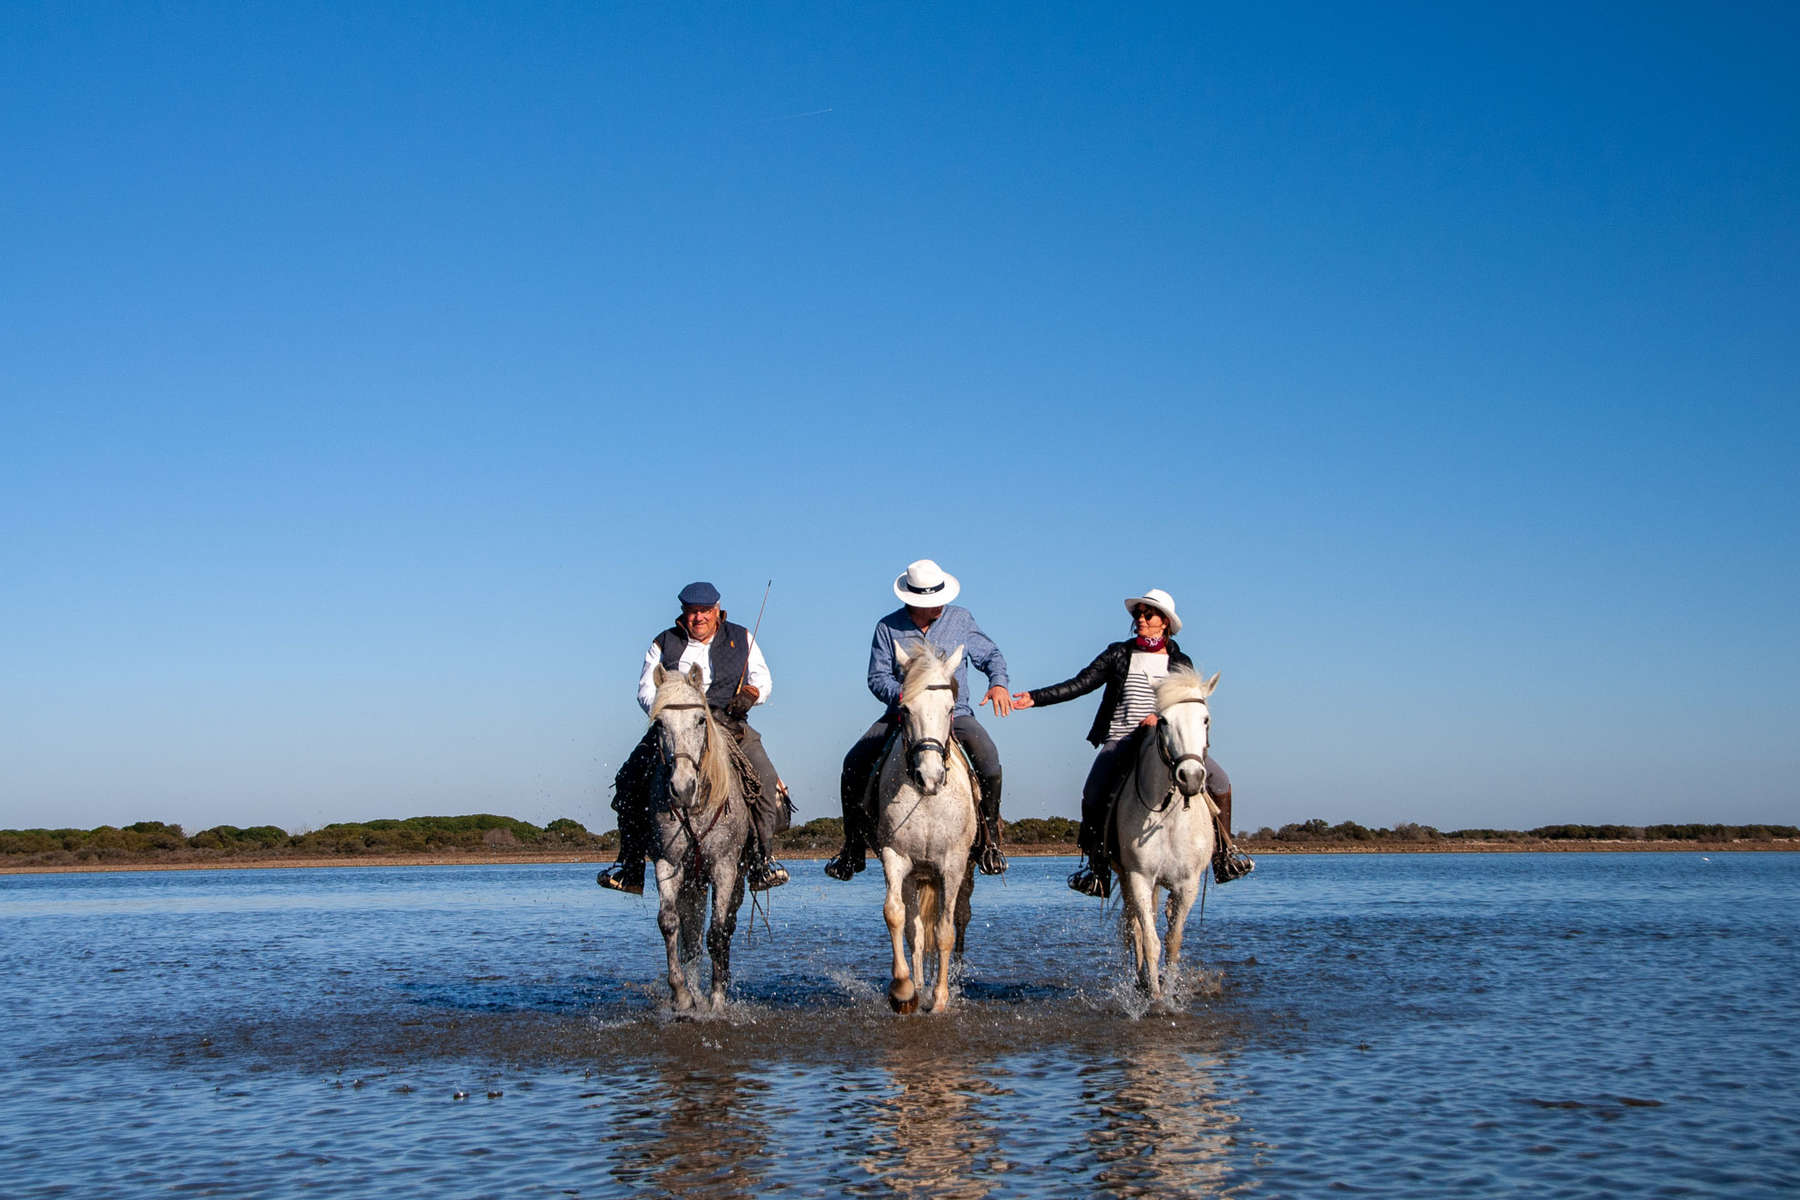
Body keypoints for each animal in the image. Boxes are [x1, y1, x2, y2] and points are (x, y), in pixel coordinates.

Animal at [648, 662, 752, 1007]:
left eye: (700, 720)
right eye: (659, 724)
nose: (682, 788)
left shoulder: (725, 867)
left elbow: (717, 932)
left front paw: (717, 998)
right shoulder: (667, 863)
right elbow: (669, 923)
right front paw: (682, 995)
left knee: (726, 928)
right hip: (692, 883)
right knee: (691, 938)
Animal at [878, 644, 979, 1021]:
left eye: (950, 708)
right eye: (905, 709)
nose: (930, 777)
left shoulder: (952, 865)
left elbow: (946, 931)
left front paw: (940, 999)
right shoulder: (895, 857)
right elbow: (896, 916)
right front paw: (905, 992)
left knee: (959, 921)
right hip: (917, 877)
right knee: (916, 931)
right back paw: (919, 984)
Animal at [1108, 665, 1224, 1007]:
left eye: (1205, 719)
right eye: (1163, 721)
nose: (1191, 777)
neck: (1169, 814)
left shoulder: (1188, 884)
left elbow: (1173, 941)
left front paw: (1170, 991)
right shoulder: (1139, 877)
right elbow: (1150, 939)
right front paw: (1156, 998)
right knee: (1133, 926)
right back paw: (1141, 981)